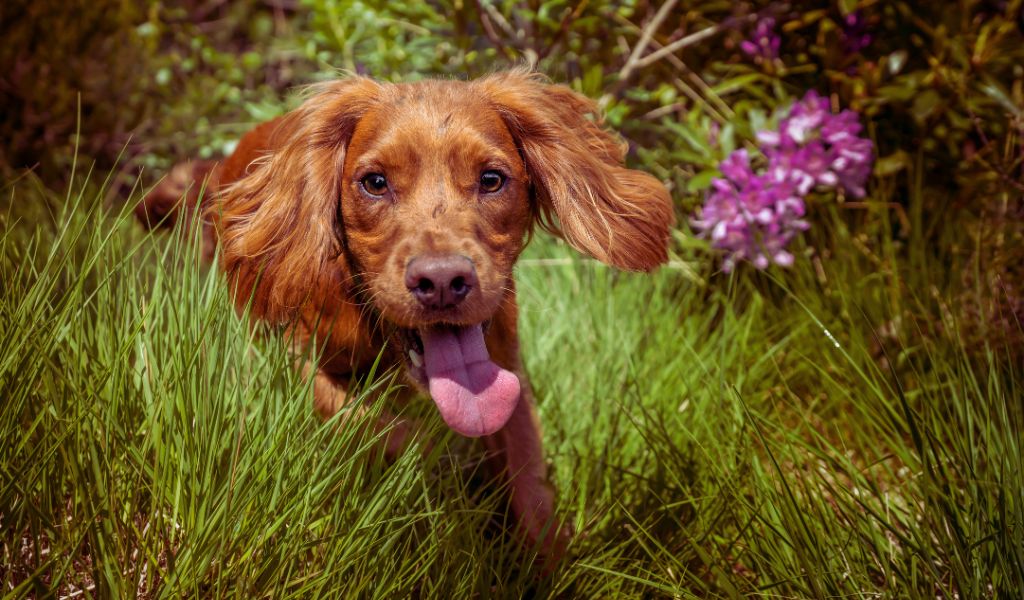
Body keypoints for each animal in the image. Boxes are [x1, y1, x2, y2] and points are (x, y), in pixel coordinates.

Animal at [138, 70, 679, 561]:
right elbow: (383, 428)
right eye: (374, 183)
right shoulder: (292, 358)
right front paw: (445, 472)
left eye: (492, 180)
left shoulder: (507, 366)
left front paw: (549, 562)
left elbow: (529, 481)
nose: (441, 282)